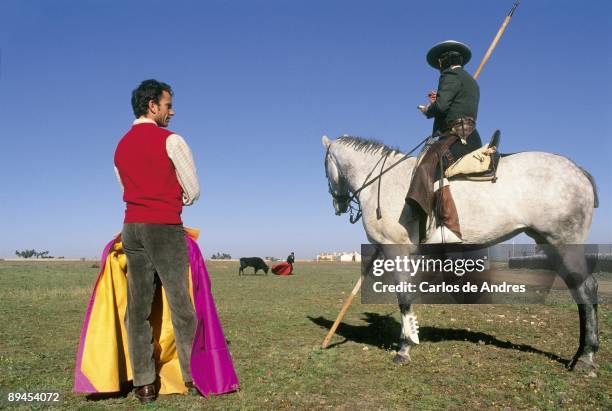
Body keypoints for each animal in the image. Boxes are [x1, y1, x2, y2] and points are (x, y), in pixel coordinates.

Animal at [322, 136, 600, 376]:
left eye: (326, 169)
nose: (338, 205)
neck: (385, 180)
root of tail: (578, 171)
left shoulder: (395, 248)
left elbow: (404, 298)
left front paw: (404, 348)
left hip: (563, 243)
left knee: (586, 289)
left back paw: (586, 357)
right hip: (549, 244)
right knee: (580, 290)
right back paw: (582, 353)